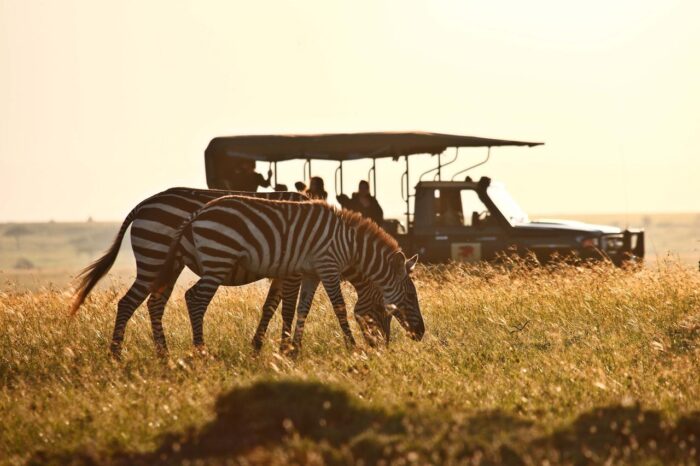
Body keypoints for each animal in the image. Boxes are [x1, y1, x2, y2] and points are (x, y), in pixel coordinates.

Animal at [70, 187, 388, 358]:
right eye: (385, 308)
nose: (384, 346)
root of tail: (143, 205)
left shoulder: (282, 271)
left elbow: (270, 306)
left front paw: (259, 346)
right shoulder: (292, 271)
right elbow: (287, 308)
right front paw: (284, 348)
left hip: (169, 265)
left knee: (154, 303)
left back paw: (164, 355)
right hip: (155, 257)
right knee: (129, 303)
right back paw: (116, 354)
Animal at [152, 196, 424, 354]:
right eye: (411, 296)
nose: (421, 334)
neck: (351, 246)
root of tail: (197, 214)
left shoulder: (312, 273)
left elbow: (304, 308)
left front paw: (295, 349)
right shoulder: (327, 266)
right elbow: (339, 307)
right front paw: (352, 346)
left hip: (203, 262)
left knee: (180, 297)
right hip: (218, 259)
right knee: (195, 299)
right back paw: (201, 351)